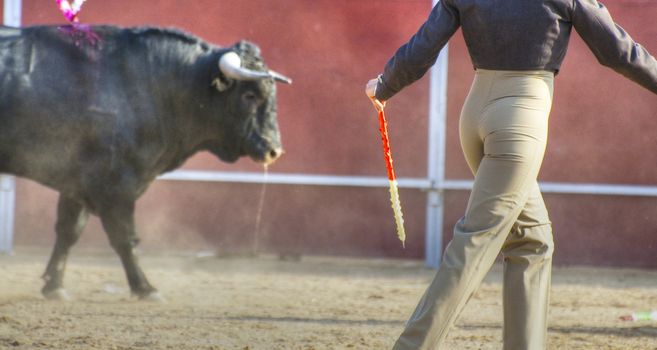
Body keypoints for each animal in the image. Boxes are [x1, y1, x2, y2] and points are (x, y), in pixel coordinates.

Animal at [0, 24, 290, 300]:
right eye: (249, 95)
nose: (274, 150)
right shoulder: (114, 184)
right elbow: (125, 238)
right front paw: (146, 288)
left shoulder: (76, 181)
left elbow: (68, 231)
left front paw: (55, 286)